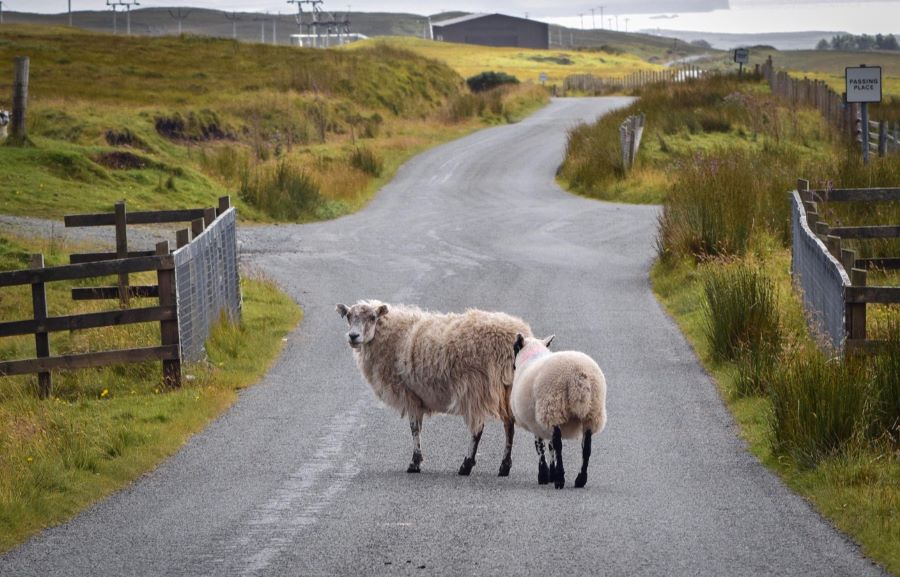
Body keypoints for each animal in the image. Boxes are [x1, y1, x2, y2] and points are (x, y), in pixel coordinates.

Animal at [336, 300, 532, 476]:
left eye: (372, 317)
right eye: (349, 316)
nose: (353, 336)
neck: (394, 335)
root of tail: (516, 334)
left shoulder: (410, 394)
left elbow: (414, 428)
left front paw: (414, 463)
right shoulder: (418, 397)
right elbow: (418, 428)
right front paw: (417, 460)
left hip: (476, 387)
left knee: (478, 429)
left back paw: (466, 465)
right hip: (507, 388)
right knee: (509, 426)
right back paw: (504, 467)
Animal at [511, 334, 607, 489]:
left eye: (514, 347)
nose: (512, 366)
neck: (533, 354)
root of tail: (578, 374)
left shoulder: (537, 420)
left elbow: (541, 447)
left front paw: (544, 475)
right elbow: (550, 447)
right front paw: (551, 473)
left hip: (553, 406)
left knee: (558, 445)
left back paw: (560, 479)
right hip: (592, 412)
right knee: (586, 448)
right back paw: (580, 479)